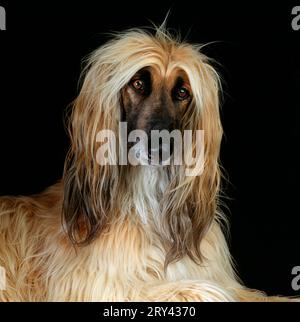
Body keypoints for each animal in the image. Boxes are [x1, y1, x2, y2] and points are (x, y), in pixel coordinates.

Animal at [0, 26, 290, 300]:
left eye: (182, 92)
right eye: (138, 83)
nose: (161, 147)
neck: (150, 204)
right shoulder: (98, 285)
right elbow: (207, 290)